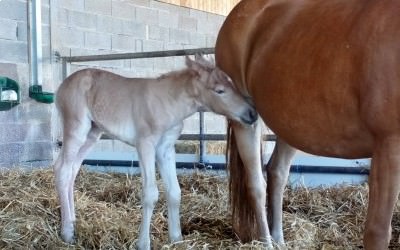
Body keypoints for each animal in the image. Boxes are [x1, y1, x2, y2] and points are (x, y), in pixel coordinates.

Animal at [54, 55, 256, 250]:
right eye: (220, 90)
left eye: (232, 84)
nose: (252, 114)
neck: (168, 102)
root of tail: (62, 86)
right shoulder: (145, 144)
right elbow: (150, 193)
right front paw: (143, 243)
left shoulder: (165, 148)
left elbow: (174, 192)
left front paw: (176, 238)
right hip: (76, 128)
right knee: (62, 169)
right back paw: (67, 233)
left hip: (92, 133)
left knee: (71, 170)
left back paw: (72, 222)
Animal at [217, 0, 400, 249]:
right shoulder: (389, 145)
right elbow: (378, 231)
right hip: (245, 122)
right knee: (256, 184)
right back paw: (267, 242)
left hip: (290, 125)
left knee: (277, 174)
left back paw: (280, 239)